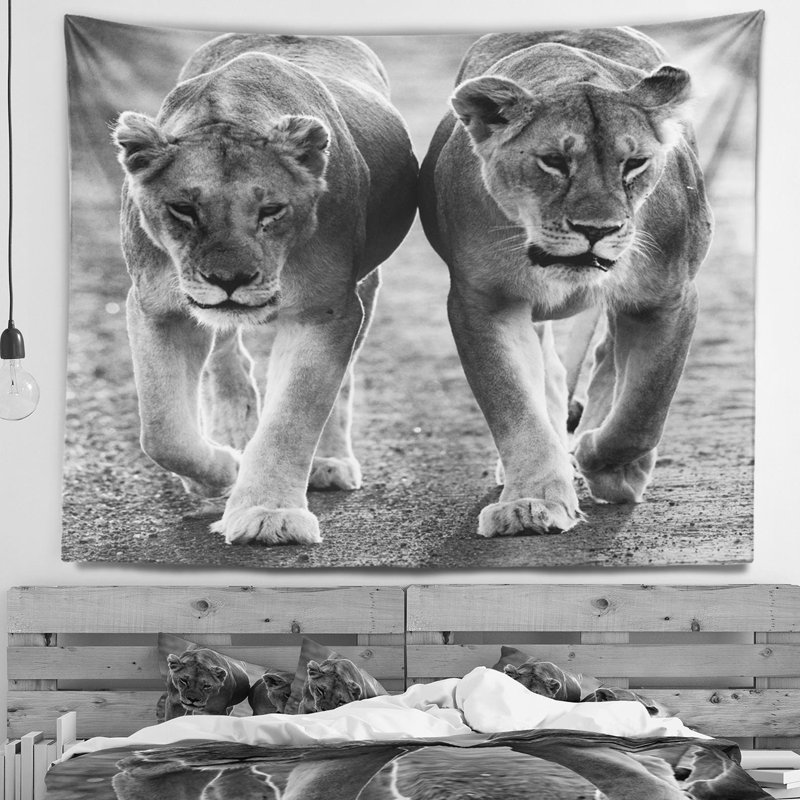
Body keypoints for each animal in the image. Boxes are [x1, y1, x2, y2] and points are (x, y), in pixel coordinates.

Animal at [112, 35, 417, 545]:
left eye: (271, 210)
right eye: (183, 209)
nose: (229, 280)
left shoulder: (326, 310)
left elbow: (292, 417)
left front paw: (268, 513)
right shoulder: (158, 307)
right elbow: (161, 430)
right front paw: (220, 471)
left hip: (366, 284)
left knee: (340, 381)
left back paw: (327, 461)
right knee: (225, 361)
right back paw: (232, 435)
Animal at [419, 28, 712, 537]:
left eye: (634, 163)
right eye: (553, 161)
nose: (598, 230)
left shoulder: (668, 298)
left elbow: (644, 408)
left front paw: (605, 464)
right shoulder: (485, 301)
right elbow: (515, 405)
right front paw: (532, 501)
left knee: (610, 361)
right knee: (554, 373)